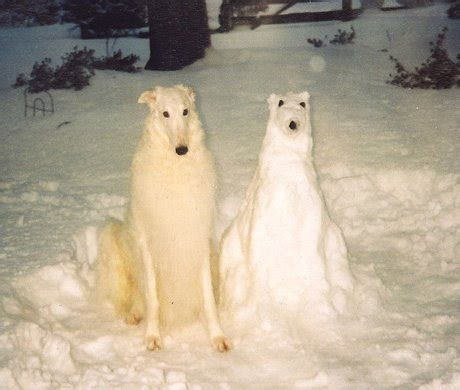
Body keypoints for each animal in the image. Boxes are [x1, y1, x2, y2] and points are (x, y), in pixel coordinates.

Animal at [98, 85, 232, 354]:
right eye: (165, 113)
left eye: (185, 111)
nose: (182, 150)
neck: (175, 171)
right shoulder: (148, 246)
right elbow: (153, 300)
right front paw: (153, 336)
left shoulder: (197, 240)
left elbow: (208, 300)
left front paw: (217, 337)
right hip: (111, 237)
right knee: (130, 300)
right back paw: (133, 313)